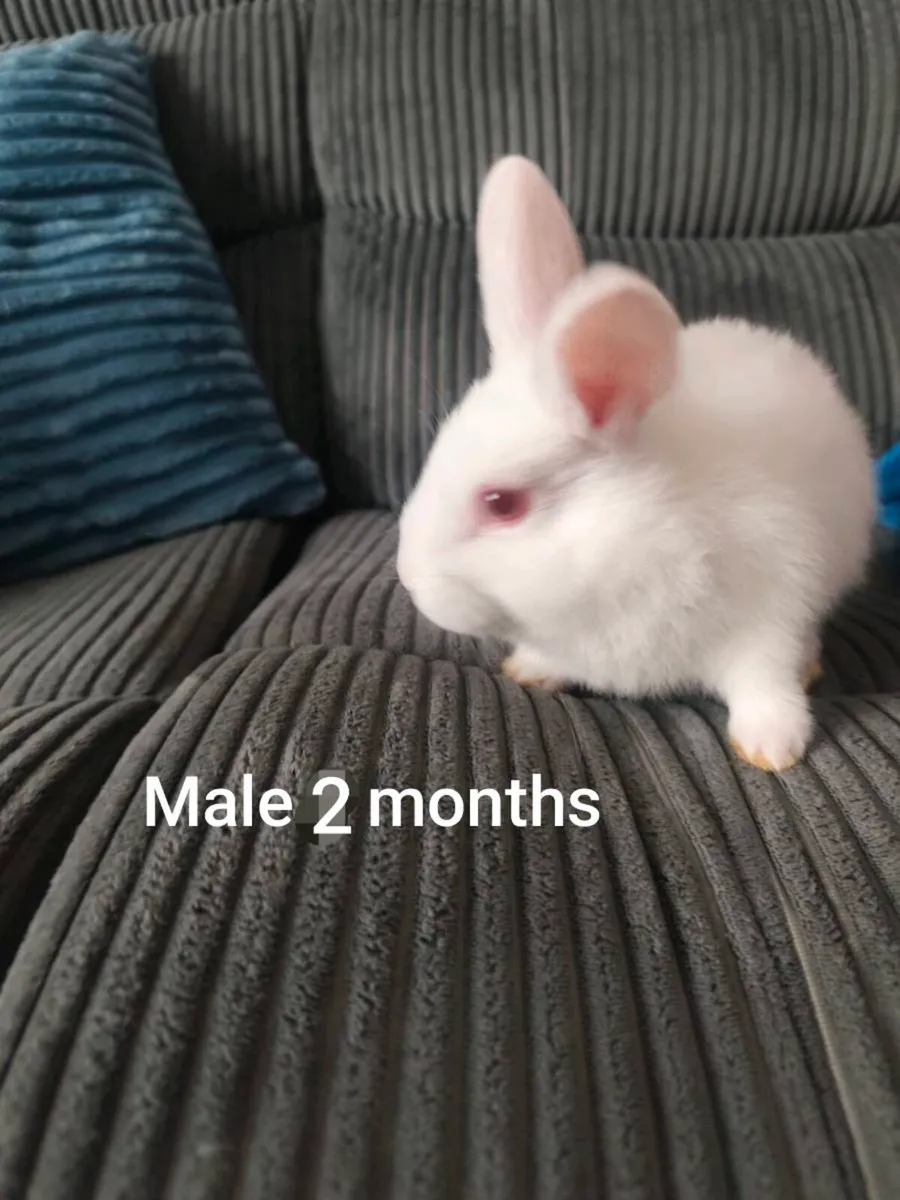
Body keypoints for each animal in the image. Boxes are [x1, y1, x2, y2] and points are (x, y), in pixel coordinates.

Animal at [396, 155, 876, 771]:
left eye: (502, 504)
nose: (408, 578)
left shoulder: (772, 609)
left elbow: (765, 680)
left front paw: (772, 747)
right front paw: (531, 668)